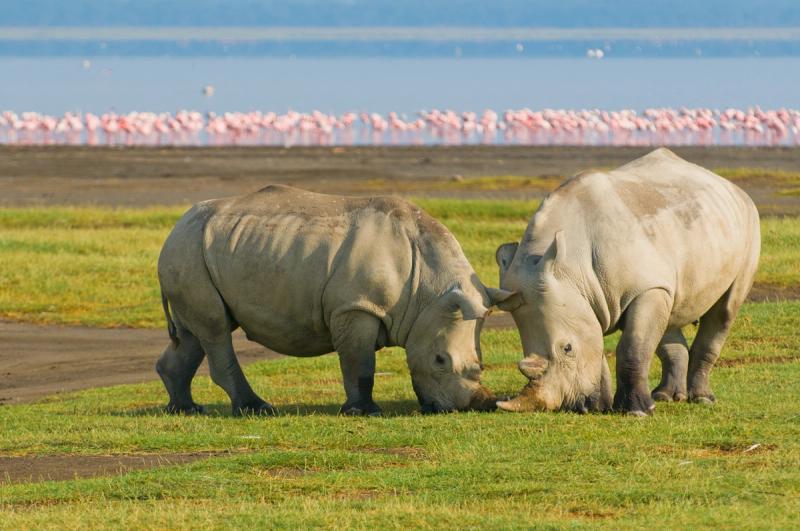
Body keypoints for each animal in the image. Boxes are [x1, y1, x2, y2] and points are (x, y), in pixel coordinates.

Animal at [156, 185, 510, 416]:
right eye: (440, 360)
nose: (473, 405)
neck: (429, 290)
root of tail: (175, 227)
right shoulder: (356, 306)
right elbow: (359, 362)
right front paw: (363, 412)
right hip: (188, 249)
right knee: (215, 329)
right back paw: (256, 409)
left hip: (198, 250)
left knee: (195, 333)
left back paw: (186, 409)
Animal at [494, 148, 760, 415]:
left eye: (567, 348)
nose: (576, 407)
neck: (570, 267)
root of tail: (730, 186)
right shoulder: (586, 299)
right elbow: (598, 345)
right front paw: (601, 406)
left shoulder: (644, 288)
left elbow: (632, 347)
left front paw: (636, 411)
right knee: (669, 312)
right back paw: (665, 396)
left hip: (749, 222)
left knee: (724, 311)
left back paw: (702, 399)